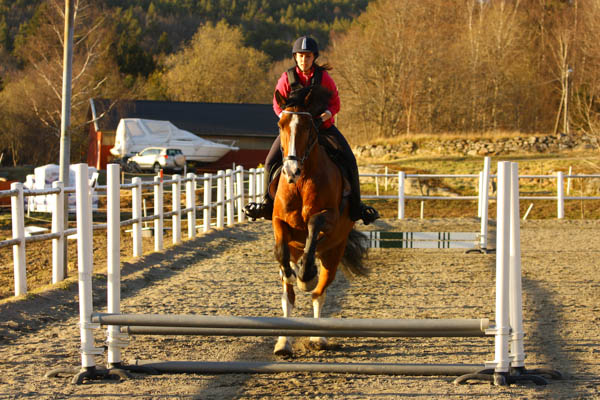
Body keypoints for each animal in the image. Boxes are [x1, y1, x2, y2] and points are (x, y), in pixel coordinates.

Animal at [271, 85, 369, 356]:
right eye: (281, 124)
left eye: (307, 126)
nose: (290, 171)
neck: (301, 181)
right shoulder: (279, 221)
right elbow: (281, 251)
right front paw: (290, 271)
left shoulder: (329, 218)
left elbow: (314, 226)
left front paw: (307, 275)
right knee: (289, 297)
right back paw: (284, 343)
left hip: (333, 252)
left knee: (319, 293)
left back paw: (318, 337)